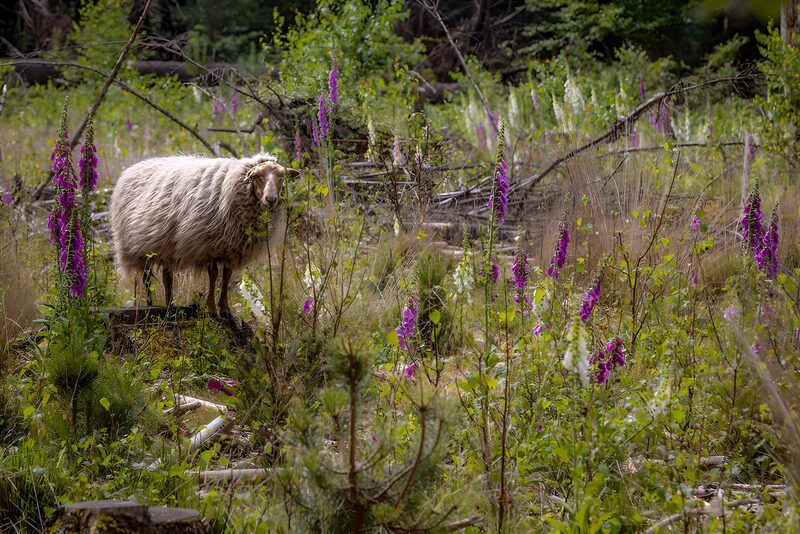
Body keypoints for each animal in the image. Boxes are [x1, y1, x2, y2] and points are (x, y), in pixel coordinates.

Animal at [110, 153, 299, 316]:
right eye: (257, 177)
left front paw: (225, 309)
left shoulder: (231, 248)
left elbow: (226, 278)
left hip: (166, 246)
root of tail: (133, 167)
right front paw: (212, 309)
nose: (271, 199)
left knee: (166, 278)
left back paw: (170, 306)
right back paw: (151, 305)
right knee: (147, 278)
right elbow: (214, 276)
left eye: (282, 178)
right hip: (139, 247)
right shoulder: (209, 246)